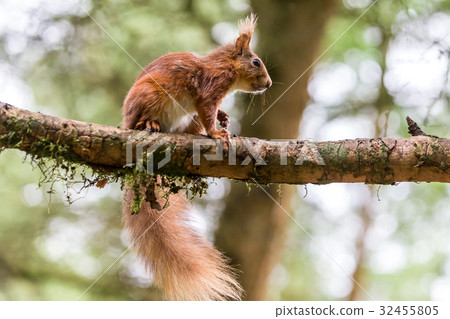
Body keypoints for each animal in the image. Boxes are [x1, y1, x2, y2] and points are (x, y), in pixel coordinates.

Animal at [121, 13, 270, 302]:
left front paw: (224, 118)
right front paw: (216, 132)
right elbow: (207, 108)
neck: (226, 67)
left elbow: (213, 112)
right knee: (140, 119)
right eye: (256, 62)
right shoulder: (210, 87)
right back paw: (148, 124)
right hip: (149, 96)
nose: (268, 84)